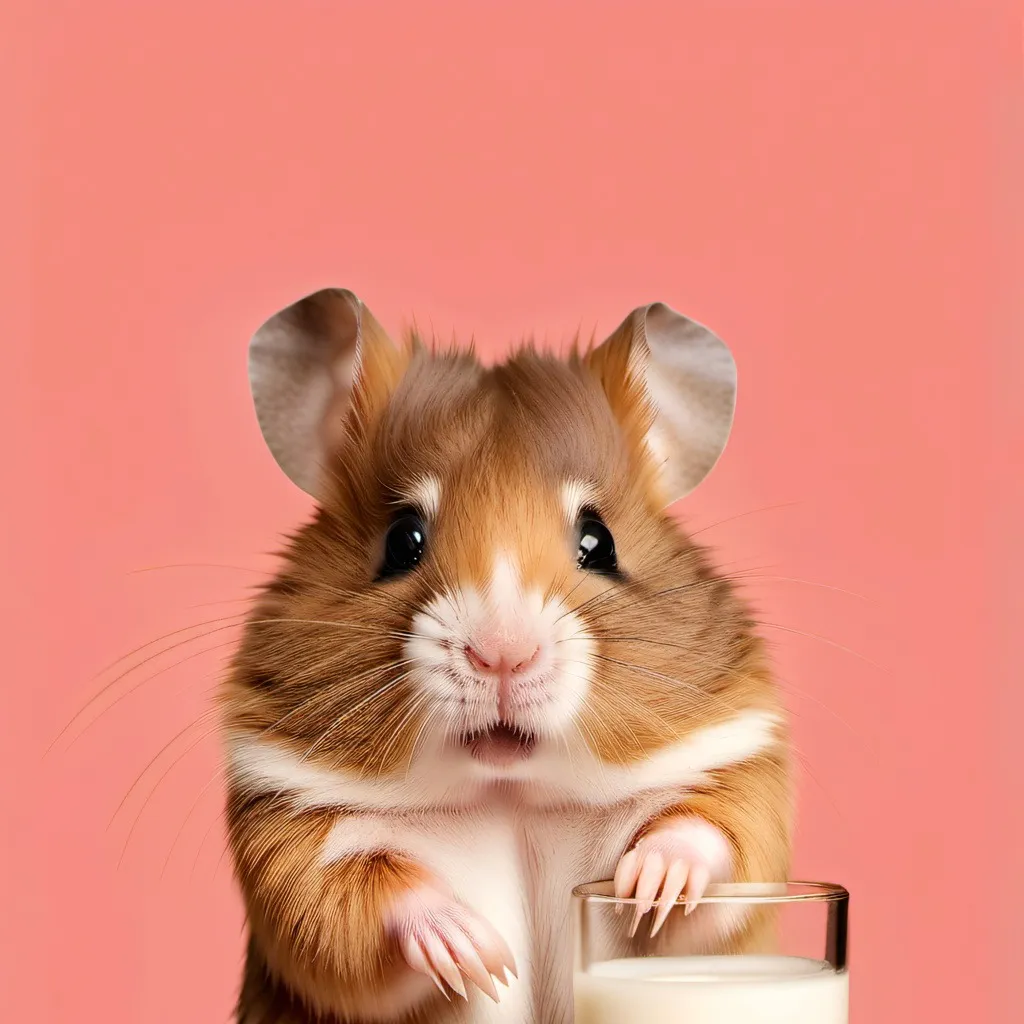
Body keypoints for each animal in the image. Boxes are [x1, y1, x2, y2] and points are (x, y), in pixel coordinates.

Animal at [219, 289, 792, 1024]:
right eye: (402, 540)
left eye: (599, 541)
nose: (502, 655)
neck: (510, 794)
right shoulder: (287, 833)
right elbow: (352, 902)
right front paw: (479, 955)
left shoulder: (736, 778)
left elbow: (712, 838)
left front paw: (651, 884)